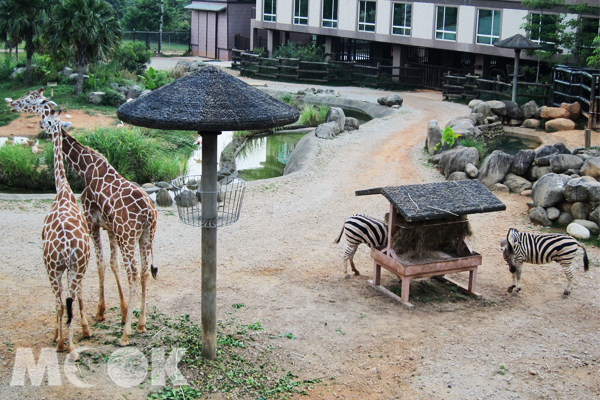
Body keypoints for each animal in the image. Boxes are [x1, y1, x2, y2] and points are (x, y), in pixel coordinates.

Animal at [7, 89, 157, 346]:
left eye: (29, 99)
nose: (11, 103)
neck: (84, 167)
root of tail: (149, 211)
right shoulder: (110, 228)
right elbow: (112, 263)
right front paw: (119, 311)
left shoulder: (91, 221)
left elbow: (100, 264)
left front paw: (100, 313)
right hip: (146, 235)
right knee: (145, 273)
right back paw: (140, 324)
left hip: (128, 236)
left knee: (134, 274)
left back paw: (125, 334)